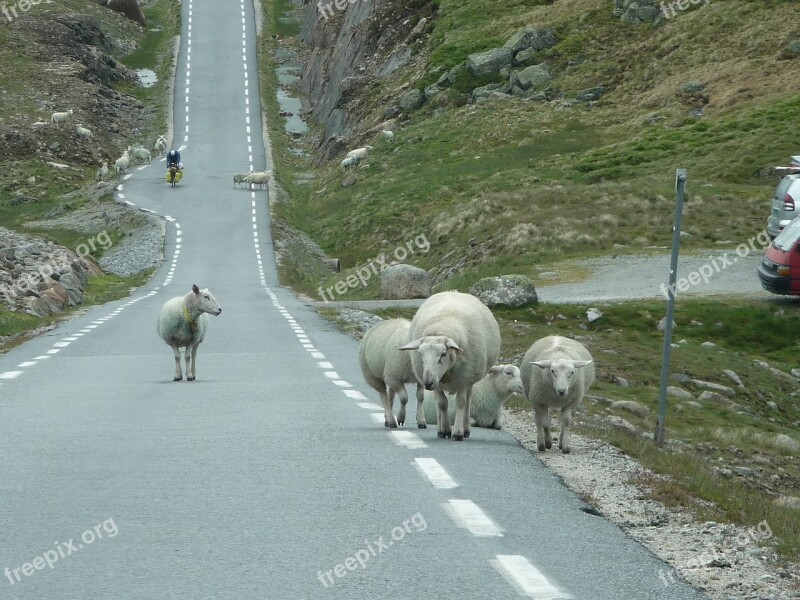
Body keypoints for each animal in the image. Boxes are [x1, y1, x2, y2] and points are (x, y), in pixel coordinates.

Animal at [400, 290, 500, 440]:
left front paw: (457, 432)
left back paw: (466, 428)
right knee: (439, 403)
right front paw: (445, 429)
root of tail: (454, 292)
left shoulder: (464, 379)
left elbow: (460, 402)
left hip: (471, 377)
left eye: (443, 354)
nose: (427, 383)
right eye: (420, 354)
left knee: (468, 401)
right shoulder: (437, 382)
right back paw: (441, 428)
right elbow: (442, 404)